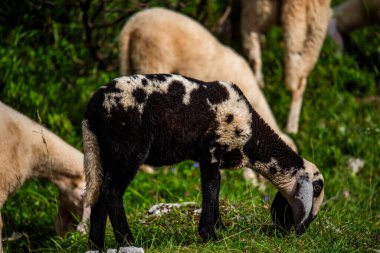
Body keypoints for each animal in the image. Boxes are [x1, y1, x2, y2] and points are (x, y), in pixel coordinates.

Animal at [82, 73, 324, 251]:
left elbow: (217, 188)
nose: (304, 229)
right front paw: (209, 235)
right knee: (112, 191)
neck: (252, 138)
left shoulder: (213, 158)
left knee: (100, 194)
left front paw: (220, 227)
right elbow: (211, 187)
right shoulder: (211, 151)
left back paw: (95, 246)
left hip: (104, 152)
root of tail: (92, 108)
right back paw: (129, 244)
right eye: (317, 188)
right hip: (128, 147)